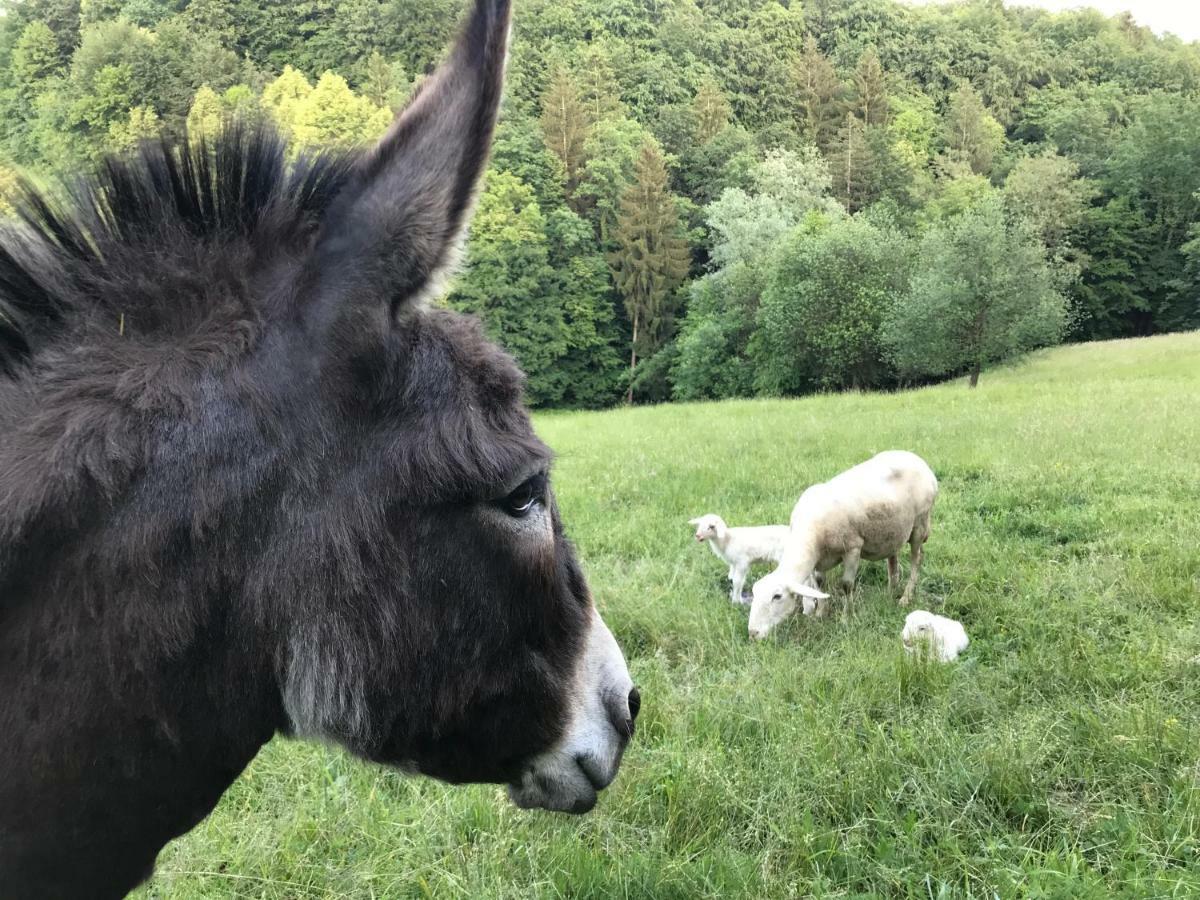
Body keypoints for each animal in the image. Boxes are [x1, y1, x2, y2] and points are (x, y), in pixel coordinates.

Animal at [748, 451, 936, 643]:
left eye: (777, 596)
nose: (753, 633)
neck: (810, 535)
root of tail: (917, 459)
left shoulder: (853, 548)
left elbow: (846, 585)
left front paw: (846, 618)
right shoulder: (820, 560)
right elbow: (819, 584)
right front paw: (820, 614)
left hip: (920, 522)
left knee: (917, 559)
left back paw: (905, 597)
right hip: (894, 529)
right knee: (893, 558)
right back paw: (891, 591)